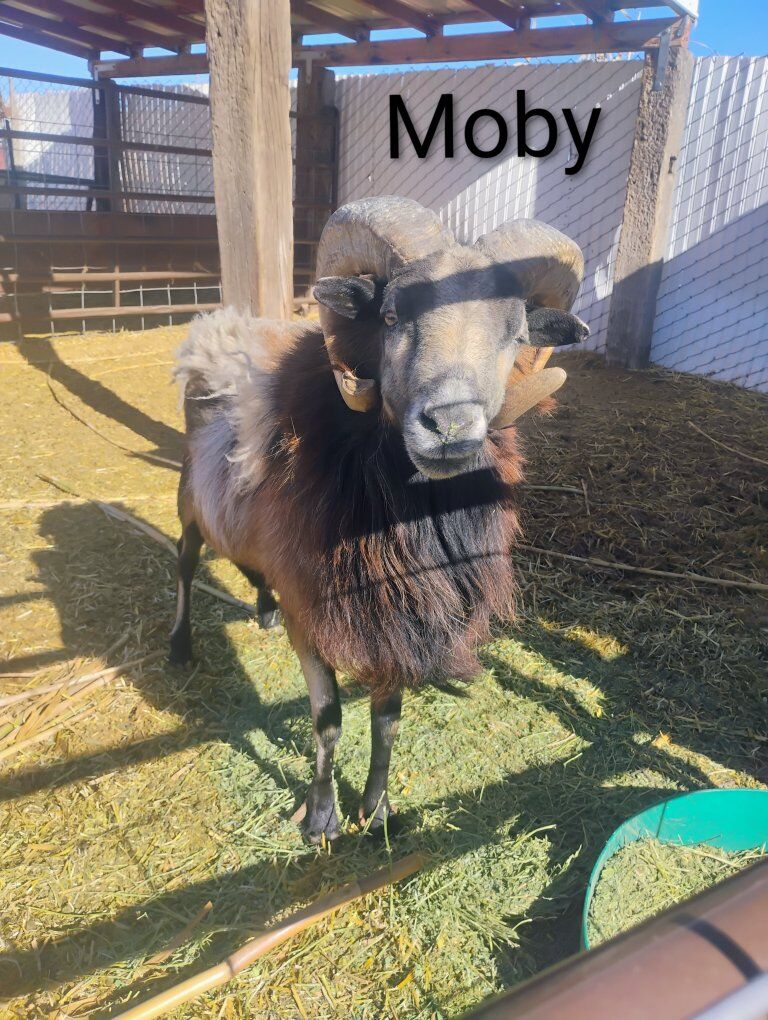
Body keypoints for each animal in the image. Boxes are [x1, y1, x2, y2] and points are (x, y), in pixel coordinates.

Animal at [171, 197, 588, 843]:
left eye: (517, 333)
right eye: (391, 316)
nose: (450, 426)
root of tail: (217, 327)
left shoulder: (396, 616)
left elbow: (387, 718)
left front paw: (377, 809)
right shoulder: (315, 614)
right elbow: (327, 719)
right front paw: (321, 819)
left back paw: (263, 610)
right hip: (190, 498)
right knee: (186, 564)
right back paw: (180, 646)